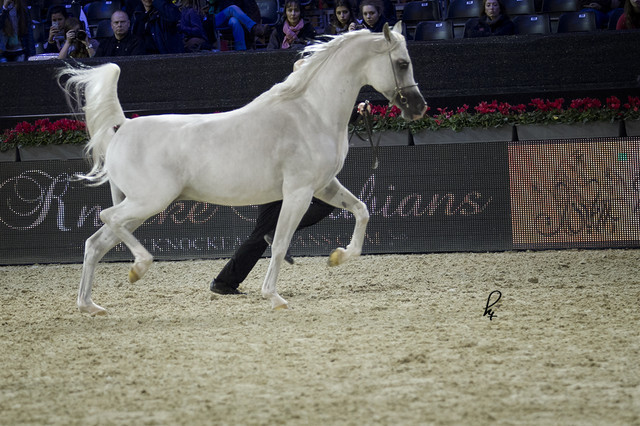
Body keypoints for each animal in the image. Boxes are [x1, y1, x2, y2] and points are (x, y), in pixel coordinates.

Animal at [59, 21, 427, 315]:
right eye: (402, 63)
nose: (419, 107)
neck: (310, 113)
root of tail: (123, 126)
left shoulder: (324, 186)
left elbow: (362, 211)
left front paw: (338, 257)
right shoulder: (299, 192)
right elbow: (279, 243)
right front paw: (274, 297)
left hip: (139, 206)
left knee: (95, 243)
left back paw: (90, 306)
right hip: (149, 201)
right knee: (107, 219)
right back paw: (138, 268)